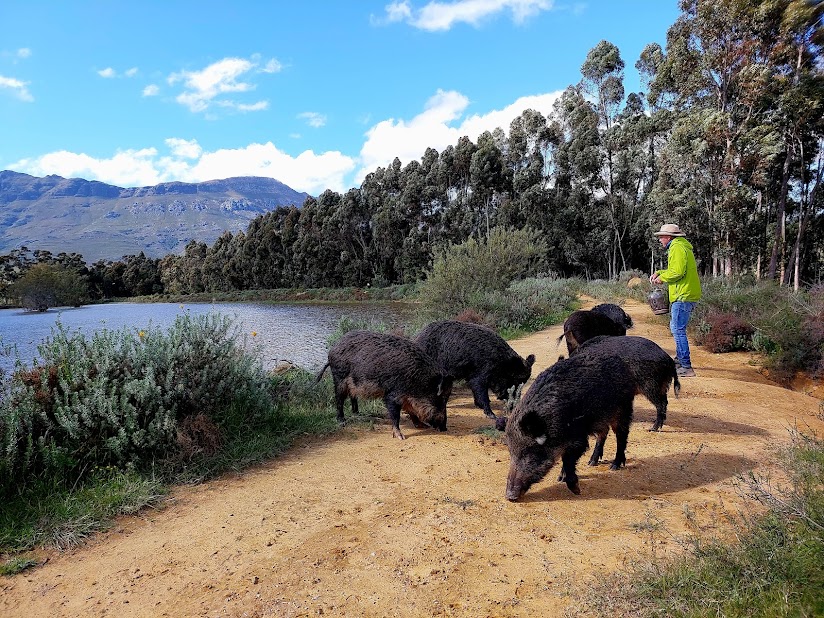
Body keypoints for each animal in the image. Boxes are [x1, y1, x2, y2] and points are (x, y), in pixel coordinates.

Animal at [318, 332, 458, 438]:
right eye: (441, 397)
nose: (444, 428)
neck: (418, 382)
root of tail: (332, 350)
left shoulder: (406, 396)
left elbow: (411, 410)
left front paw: (422, 426)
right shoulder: (392, 394)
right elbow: (396, 414)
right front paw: (400, 437)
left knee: (353, 397)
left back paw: (359, 414)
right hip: (339, 378)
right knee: (339, 400)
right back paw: (342, 422)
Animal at [502, 354, 636, 498]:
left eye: (529, 451)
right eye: (511, 452)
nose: (510, 496)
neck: (551, 422)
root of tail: (622, 363)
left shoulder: (578, 437)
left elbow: (567, 459)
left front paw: (576, 489)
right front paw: (560, 479)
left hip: (623, 408)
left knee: (622, 435)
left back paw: (614, 466)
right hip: (601, 418)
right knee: (603, 433)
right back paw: (591, 463)